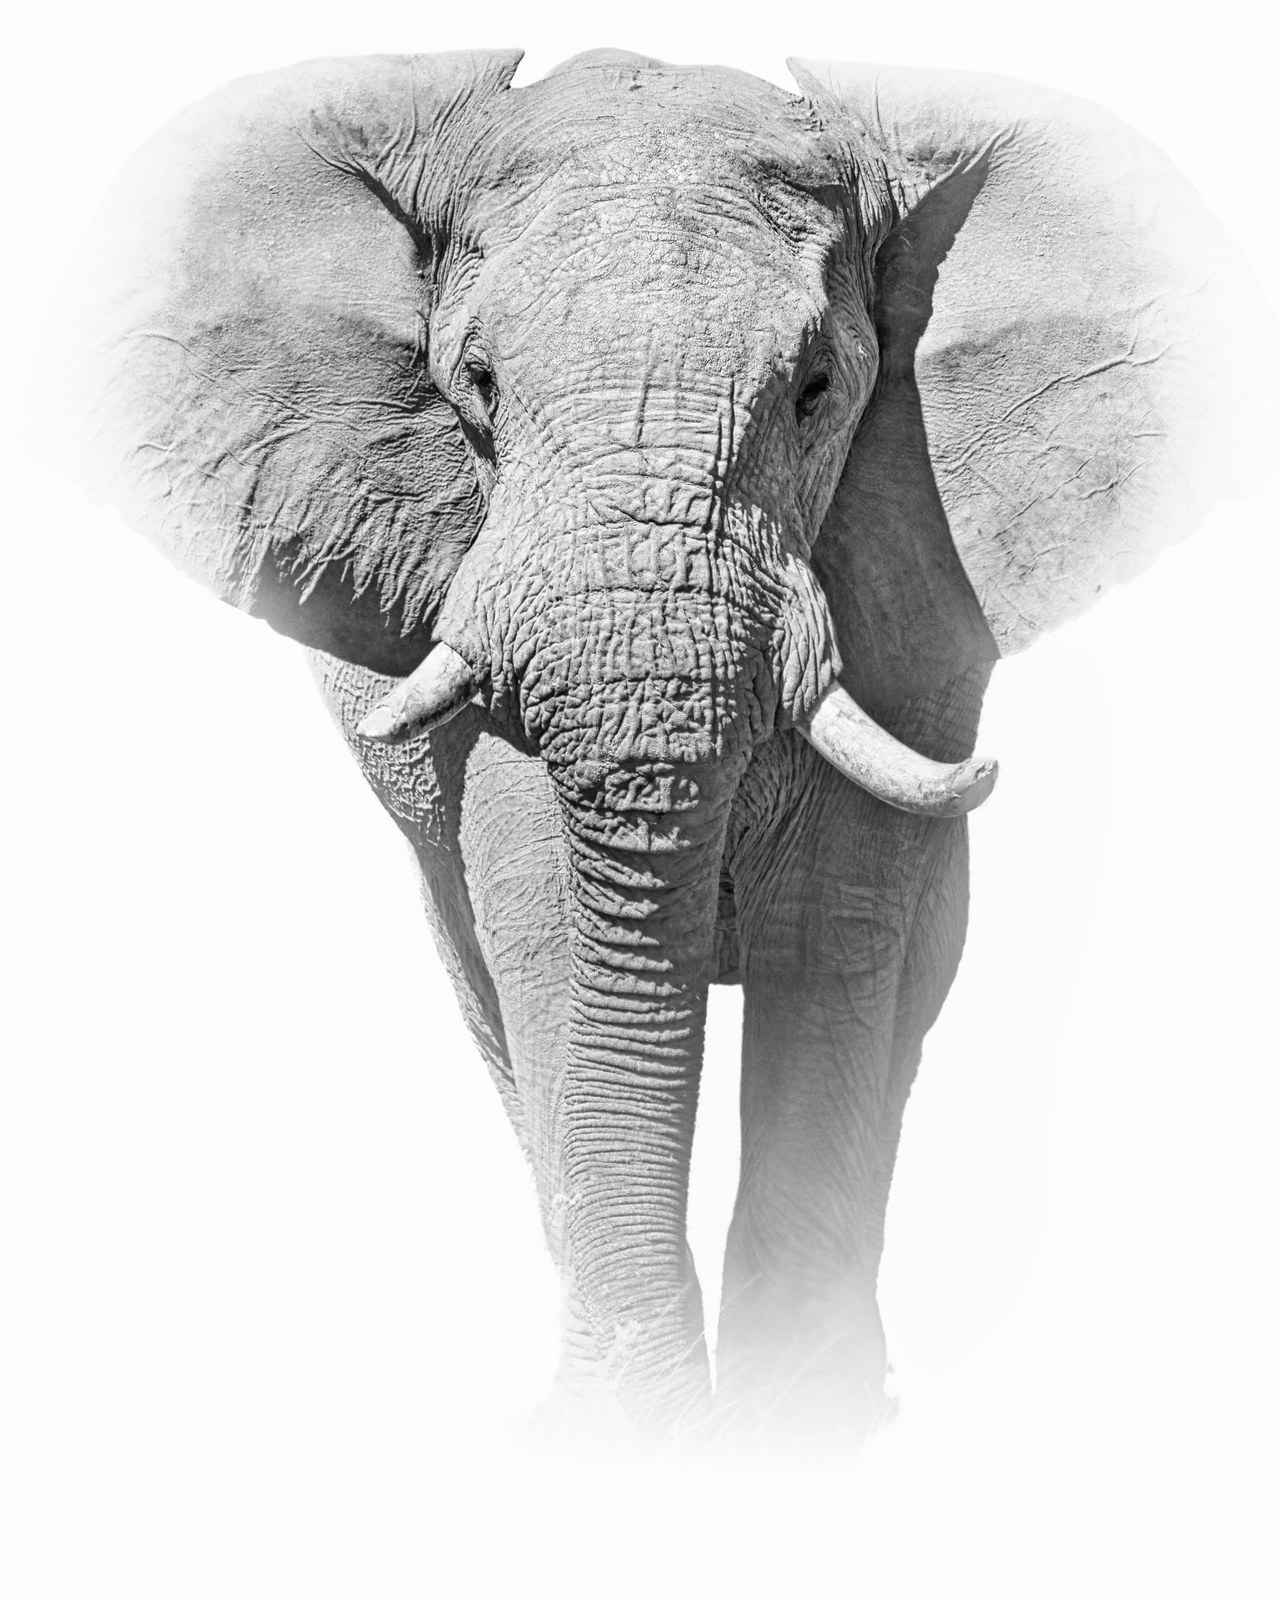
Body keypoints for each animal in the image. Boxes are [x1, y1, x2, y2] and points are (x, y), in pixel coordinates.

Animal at [67, 46, 1256, 1447]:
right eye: (476, 387)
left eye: (814, 390)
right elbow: (547, 913)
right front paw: (631, 1441)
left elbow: (832, 921)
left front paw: (792, 1435)